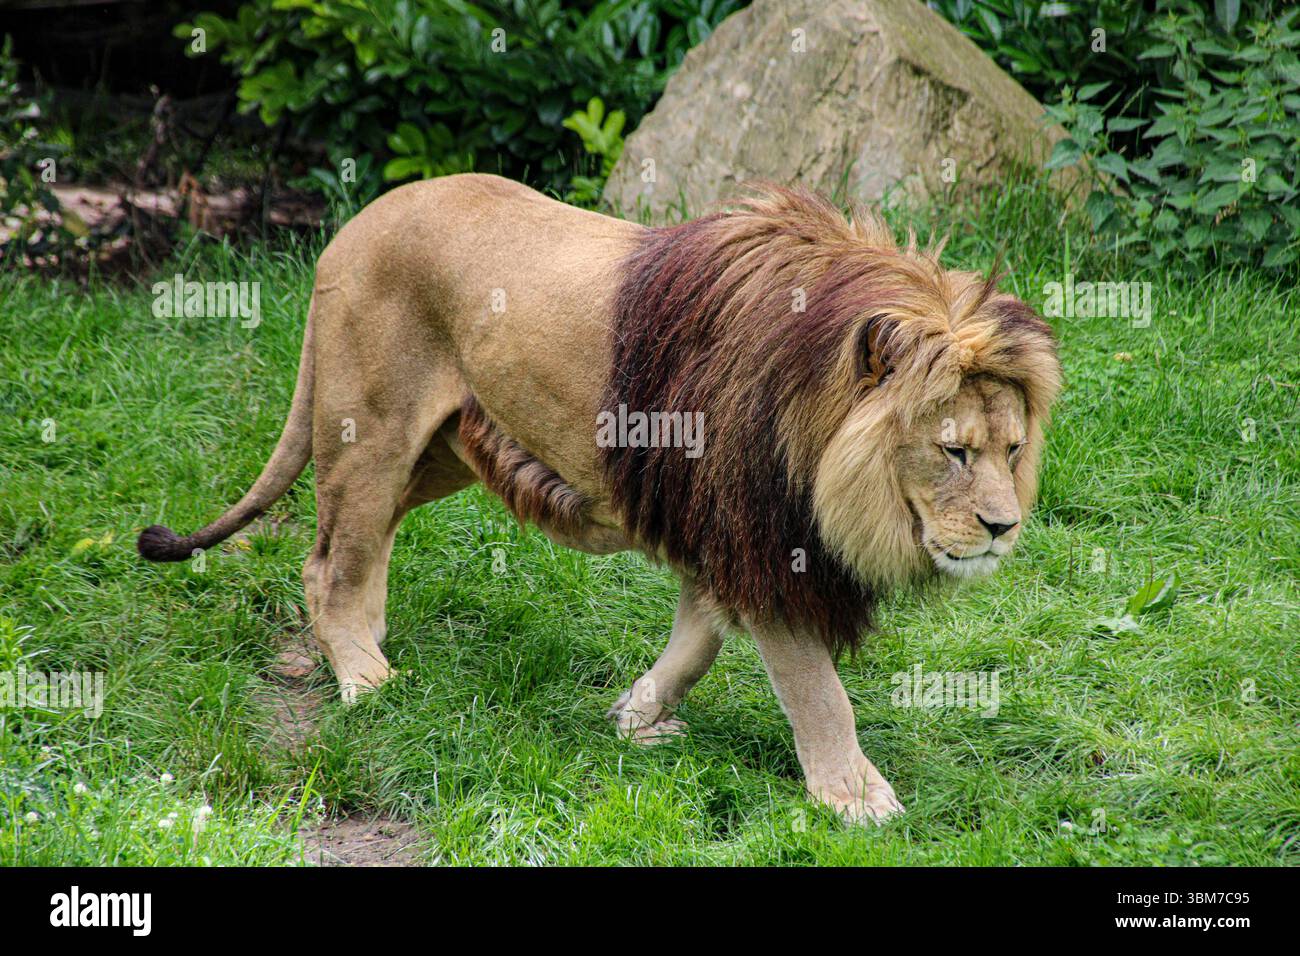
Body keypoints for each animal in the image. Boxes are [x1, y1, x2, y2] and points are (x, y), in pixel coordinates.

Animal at [138, 174, 1060, 823]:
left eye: (1013, 450)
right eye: (952, 450)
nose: (1003, 527)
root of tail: (350, 229)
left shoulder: (710, 520)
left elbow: (698, 637)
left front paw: (635, 719)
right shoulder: (761, 541)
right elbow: (815, 688)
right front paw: (855, 796)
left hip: (436, 450)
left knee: (357, 548)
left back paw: (368, 639)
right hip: (369, 432)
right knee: (330, 560)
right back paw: (363, 675)